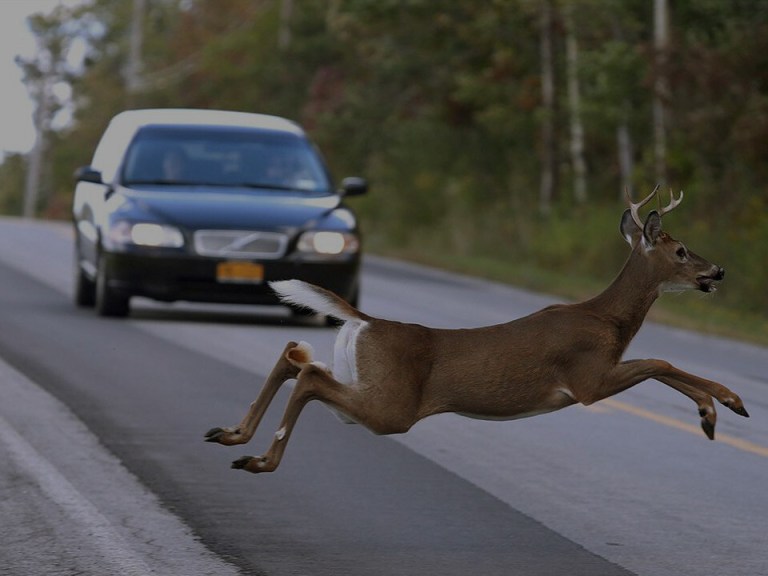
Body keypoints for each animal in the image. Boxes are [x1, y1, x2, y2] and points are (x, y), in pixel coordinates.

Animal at [205, 186, 749, 474]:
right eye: (680, 250)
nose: (718, 271)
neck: (609, 320)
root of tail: (368, 321)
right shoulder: (587, 378)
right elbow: (660, 360)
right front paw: (723, 405)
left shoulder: (596, 376)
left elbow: (661, 364)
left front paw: (714, 411)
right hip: (392, 407)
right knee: (309, 376)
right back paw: (260, 460)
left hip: (366, 383)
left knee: (295, 355)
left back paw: (231, 435)